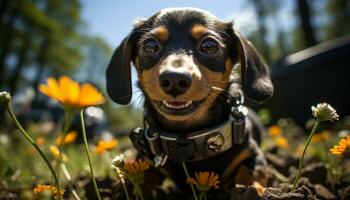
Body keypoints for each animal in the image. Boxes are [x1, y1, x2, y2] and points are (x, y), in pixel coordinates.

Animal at [105, 7, 274, 197]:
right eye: (150, 45)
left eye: (209, 46)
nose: (174, 79)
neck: (189, 138)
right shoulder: (145, 160)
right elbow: (138, 177)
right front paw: (123, 190)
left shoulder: (252, 154)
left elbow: (250, 174)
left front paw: (249, 191)